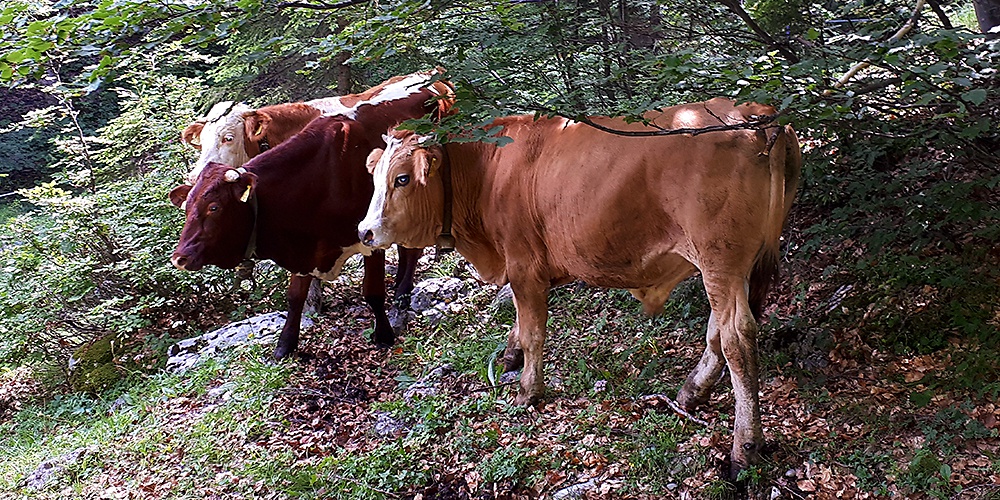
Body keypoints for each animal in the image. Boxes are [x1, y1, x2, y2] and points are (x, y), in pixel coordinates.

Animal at [172, 71, 454, 360]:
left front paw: (384, 335)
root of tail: (432, 75)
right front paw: (290, 339)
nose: (193, 175)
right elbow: (296, 294)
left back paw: (401, 297)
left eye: (228, 137)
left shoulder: (369, 235)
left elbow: (372, 291)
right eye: (202, 141)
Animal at [360, 97, 804, 476]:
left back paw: (744, 447)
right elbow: (520, 326)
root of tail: (755, 112)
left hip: (719, 260)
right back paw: (691, 393)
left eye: (402, 179)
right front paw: (509, 355)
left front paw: (528, 390)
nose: (364, 231)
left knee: (736, 338)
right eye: (375, 179)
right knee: (718, 332)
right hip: (731, 268)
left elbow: (534, 331)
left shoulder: (524, 265)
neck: (487, 169)